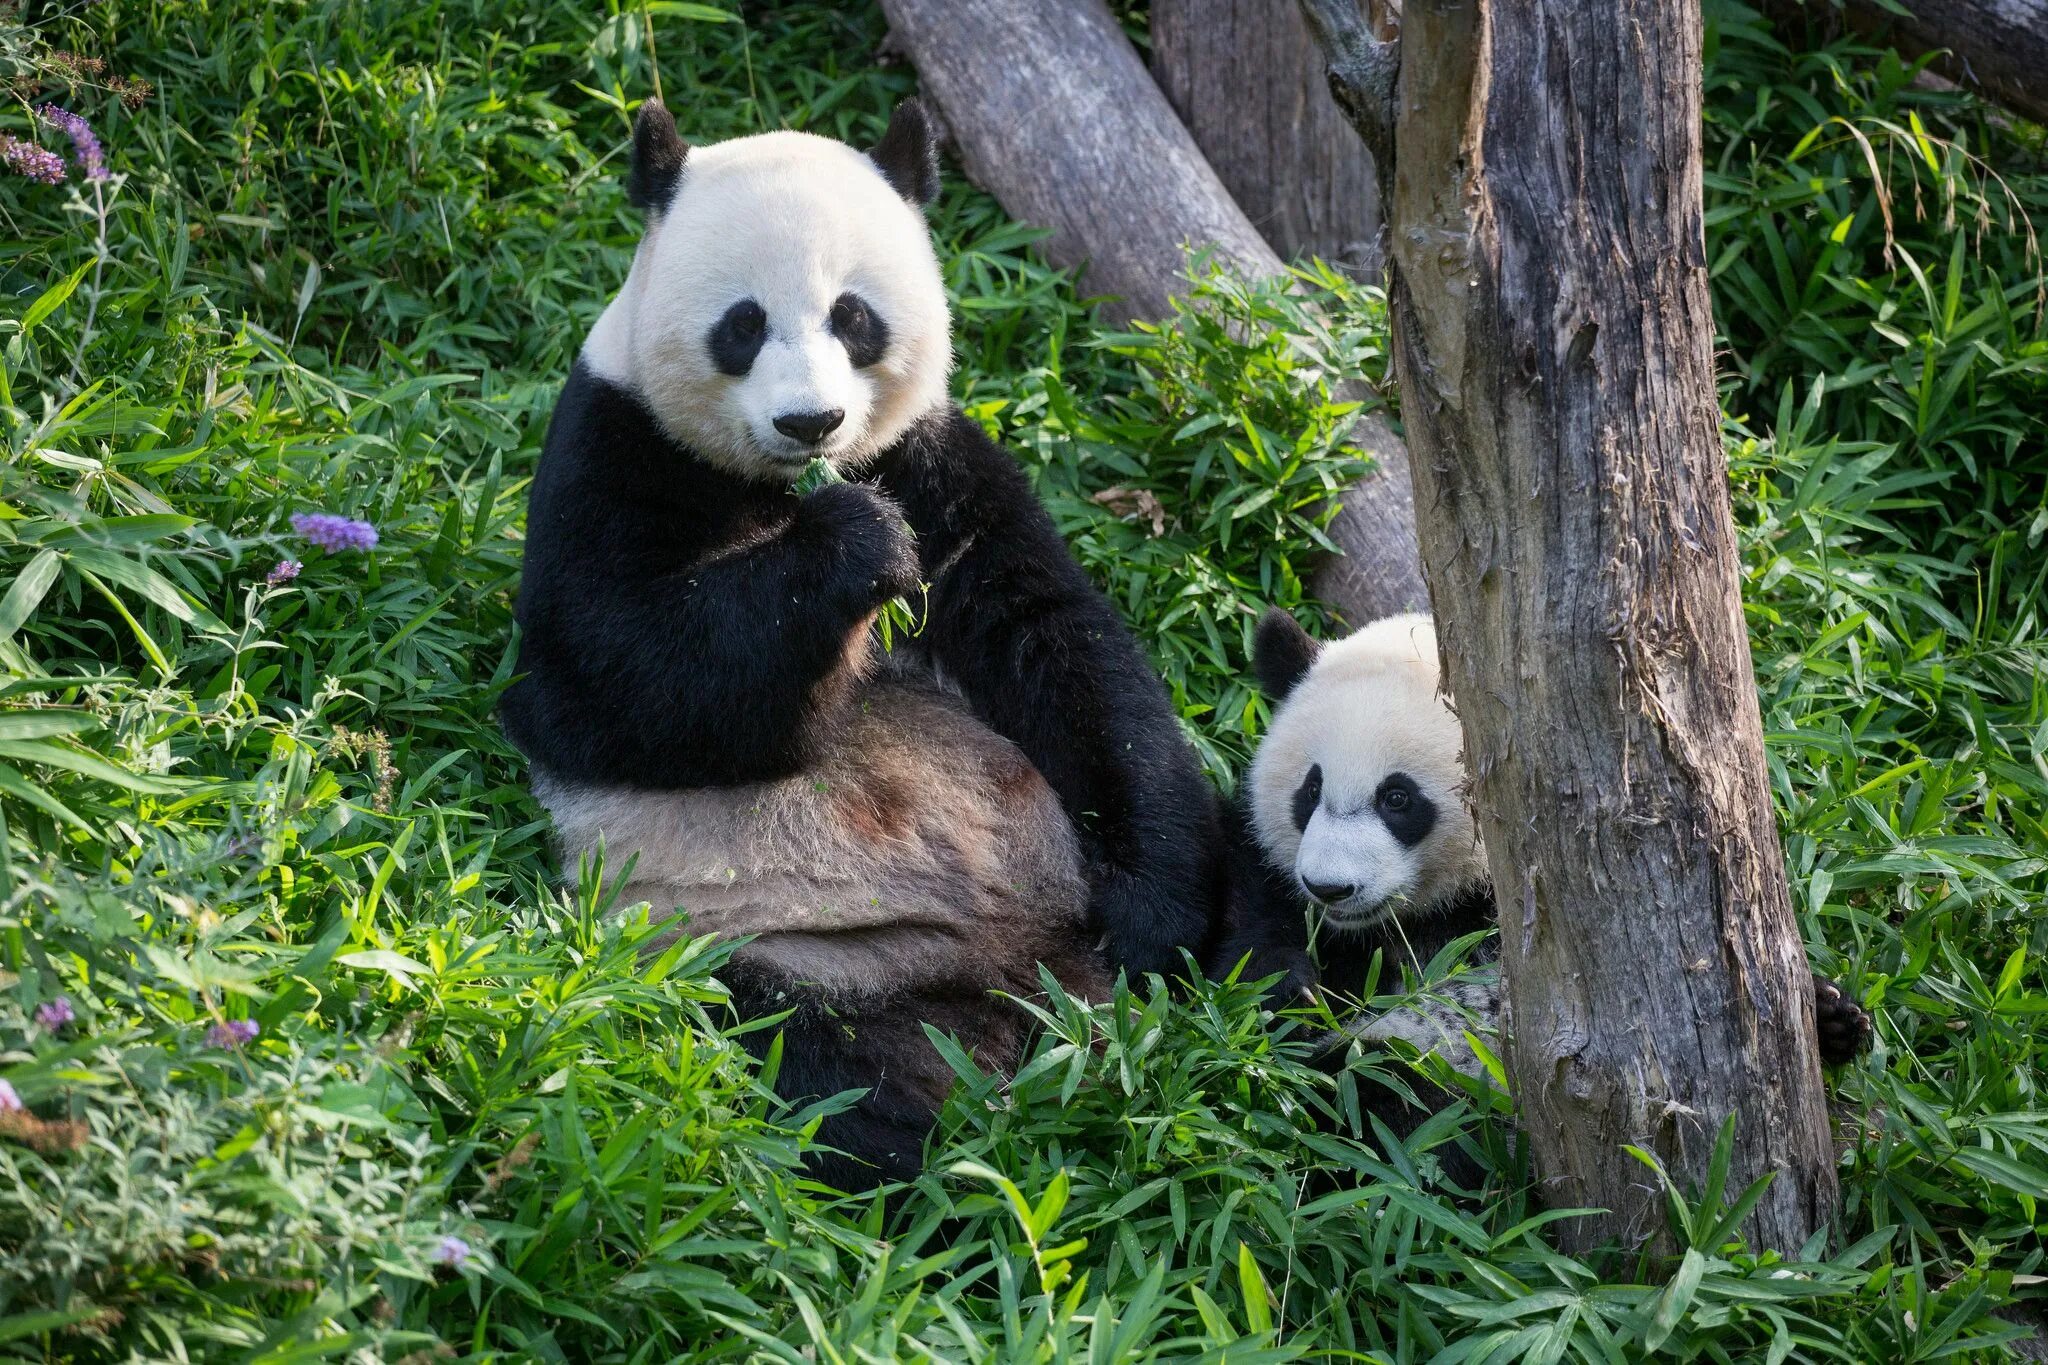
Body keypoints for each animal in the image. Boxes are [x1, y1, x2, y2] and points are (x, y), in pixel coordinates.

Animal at [503, 98, 1220, 1186]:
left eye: (853, 317)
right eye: (743, 323)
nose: (813, 420)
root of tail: (1031, 971)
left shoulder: (932, 455)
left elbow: (1058, 643)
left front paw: (1149, 915)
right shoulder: (612, 448)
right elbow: (613, 683)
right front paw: (854, 545)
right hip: (781, 947)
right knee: (829, 1066)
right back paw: (936, 1170)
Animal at [1212, 613, 1875, 1137]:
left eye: (1397, 799)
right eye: (1310, 789)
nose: (1331, 888)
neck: (1417, 918)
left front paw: (1832, 1014)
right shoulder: (1274, 885)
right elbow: (1248, 964)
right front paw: (1292, 985)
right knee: (1374, 1085)